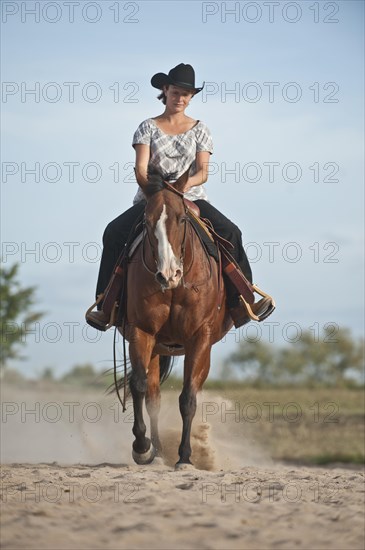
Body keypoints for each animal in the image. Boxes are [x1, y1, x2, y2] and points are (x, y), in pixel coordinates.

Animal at [121, 169, 232, 470]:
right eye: (146, 222)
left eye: (182, 218)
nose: (168, 274)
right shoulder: (141, 332)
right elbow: (139, 385)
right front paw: (141, 447)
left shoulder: (199, 338)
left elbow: (188, 398)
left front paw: (185, 456)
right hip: (157, 348)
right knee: (153, 398)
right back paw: (157, 452)